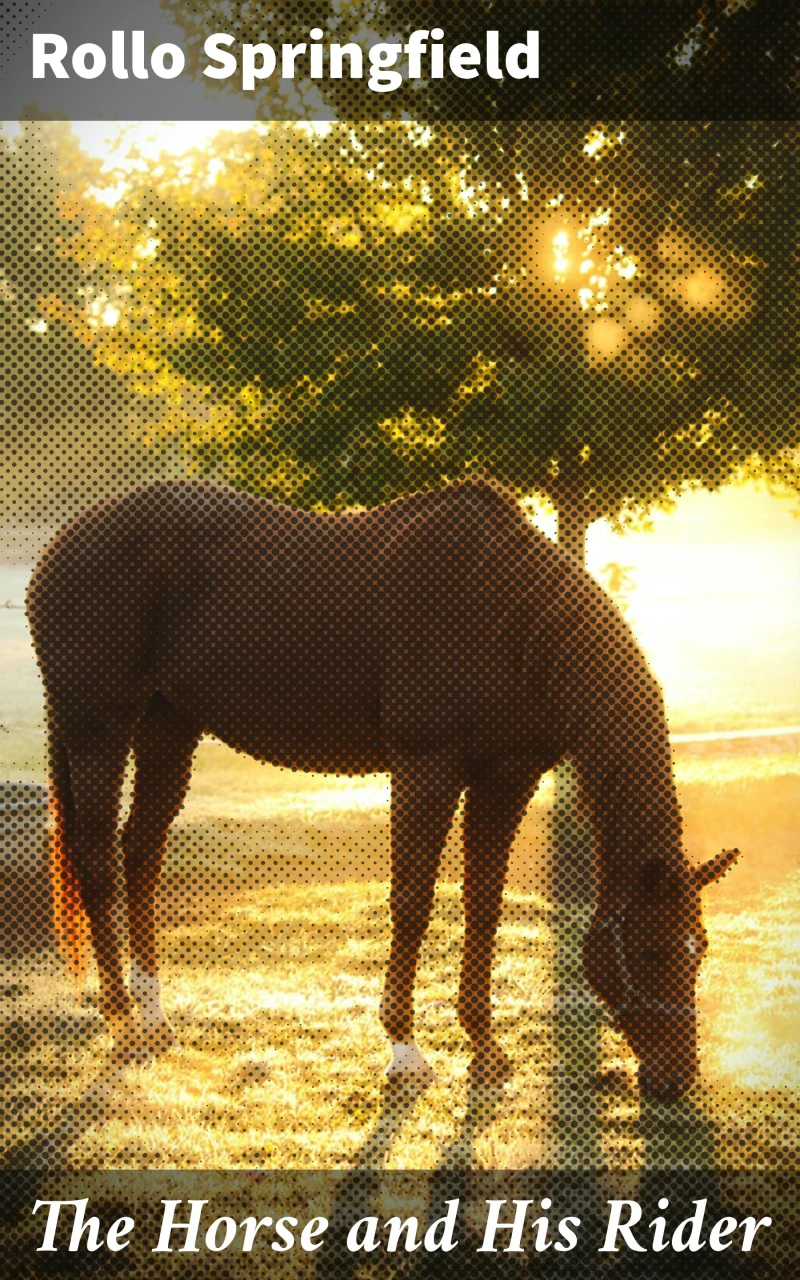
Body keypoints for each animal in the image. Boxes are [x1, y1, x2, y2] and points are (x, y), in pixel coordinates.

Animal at [26, 478, 738, 1100]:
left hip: (168, 728)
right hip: (97, 727)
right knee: (96, 857)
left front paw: (485, 1048)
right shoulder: (425, 768)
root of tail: (60, 545)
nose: (676, 1080)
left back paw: (152, 1014)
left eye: (698, 951)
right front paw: (405, 1052)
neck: (506, 616)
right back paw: (123, 1021)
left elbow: (483, 905)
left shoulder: (505, 779)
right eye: (650, 952)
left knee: (140, 852)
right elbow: (413, 904)